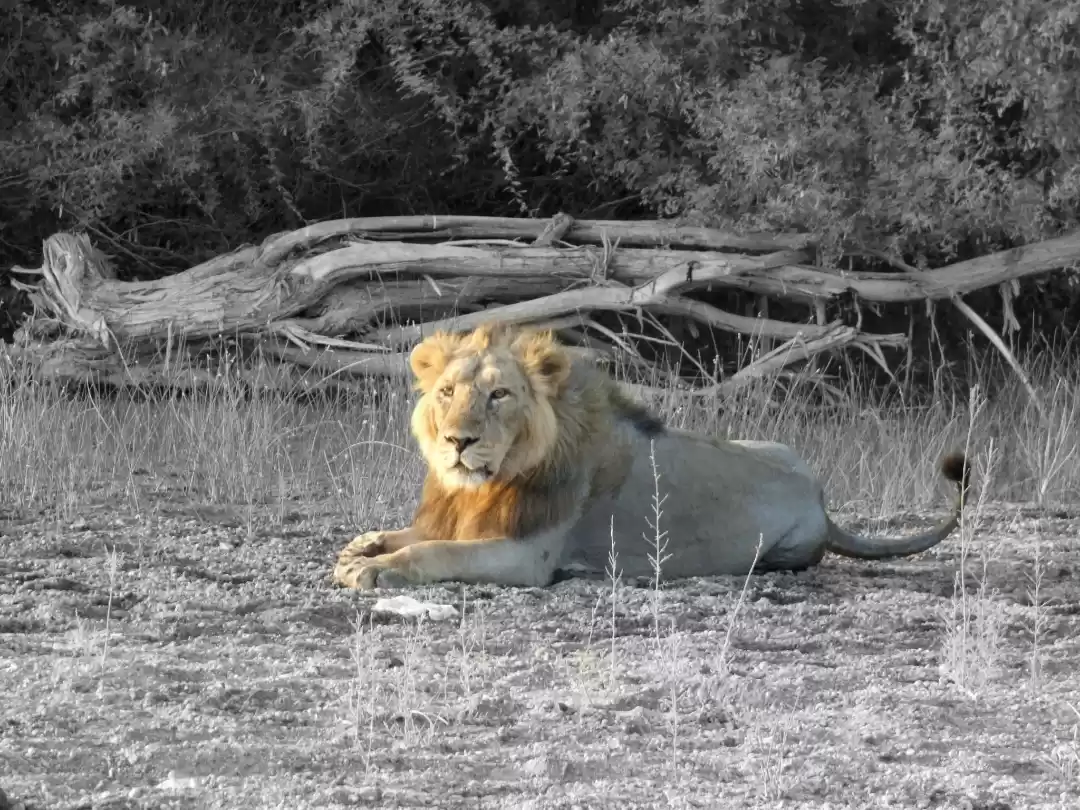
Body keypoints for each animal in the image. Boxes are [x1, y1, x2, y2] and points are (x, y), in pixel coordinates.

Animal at [332, 322, 971, 591]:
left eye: (499, 395)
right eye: (447, 392)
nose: (458, 441)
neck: (485, 483)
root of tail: (822, 501)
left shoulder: (527, 554)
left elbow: (433, 552)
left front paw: (373, 569)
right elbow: (409, 535)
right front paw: (360, 549)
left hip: (786, 548)